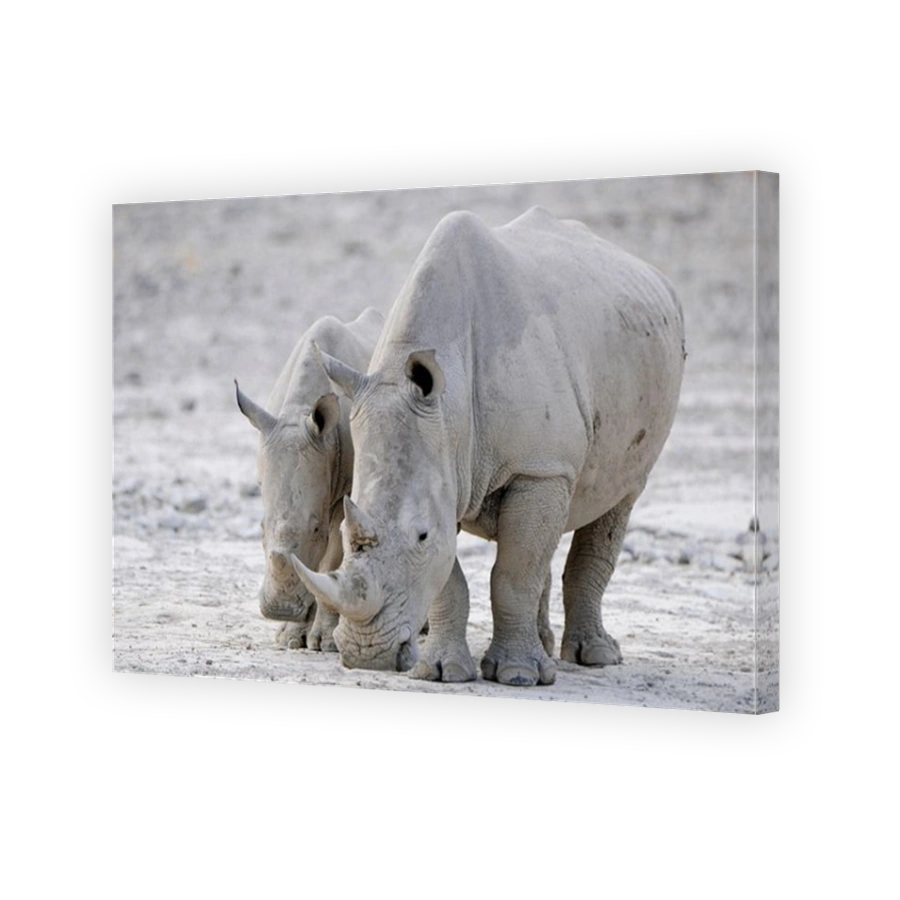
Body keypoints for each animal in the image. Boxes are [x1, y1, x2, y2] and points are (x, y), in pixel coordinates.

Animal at [235, 308, 383, 650]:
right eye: (260, 527)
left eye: (316, 529)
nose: (279, 609)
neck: (298, 411)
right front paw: (291, 638)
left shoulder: (345, 492)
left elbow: (331, 559)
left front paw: (324, 642)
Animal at [292, 208, 685, 685]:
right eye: (346, 534)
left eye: (420, 534)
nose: (367, 654)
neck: (450, 412)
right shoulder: (448, 468)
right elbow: (452, 579)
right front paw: (442, 671)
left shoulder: (537, 466)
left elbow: (512, 575)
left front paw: (517, 675)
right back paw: (547, 649)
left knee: (619, 498)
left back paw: (593, 657)